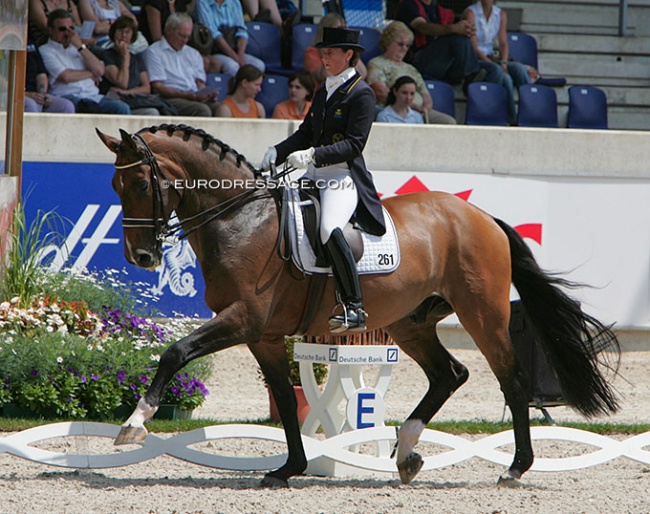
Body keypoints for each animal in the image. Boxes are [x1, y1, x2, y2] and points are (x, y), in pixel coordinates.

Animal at [96, 123, 616, 484]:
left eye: (140, 184)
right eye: (116, 188)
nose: (141, 257)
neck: (241, 219)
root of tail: (481, 216)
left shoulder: (243, 319)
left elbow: (175, 352)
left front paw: (134, 424)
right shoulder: (264, 335)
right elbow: (285, 398)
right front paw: (288, 469)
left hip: (482, 314)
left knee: (512, 379)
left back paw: (515, 467)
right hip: (411, 322)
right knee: (450, 374)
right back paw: (407, 452)